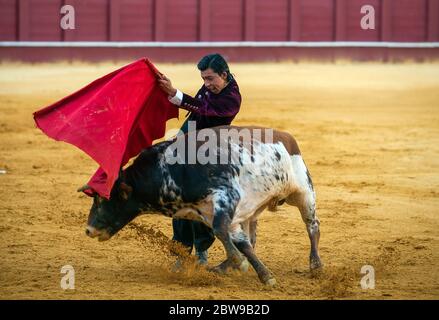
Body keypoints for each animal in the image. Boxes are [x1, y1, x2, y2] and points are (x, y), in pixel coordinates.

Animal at [83, 125, 324, 284]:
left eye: (103, 199)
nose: (88, 229)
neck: (170, 170)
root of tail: (287, 137)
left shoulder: (226, 197)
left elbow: (221, 231)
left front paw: (243, 264)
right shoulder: (215, 212)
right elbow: (238, 240)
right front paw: (262, 273)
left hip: (304, 192)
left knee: (312, 227)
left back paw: (316, 265)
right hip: (253, 209)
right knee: (250, 238)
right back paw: (224, 267)